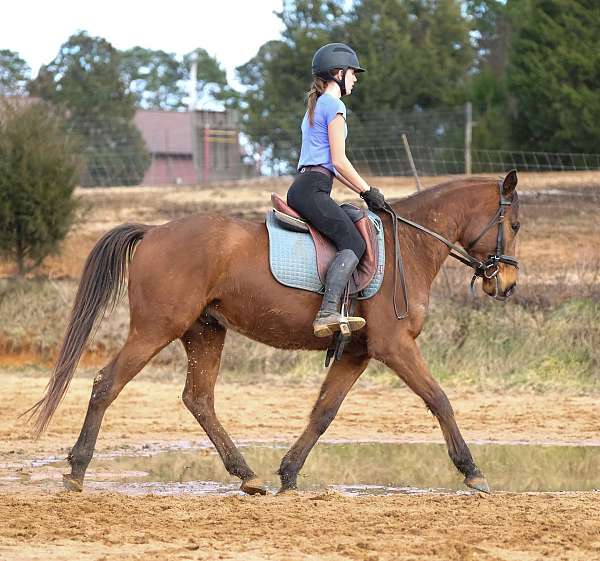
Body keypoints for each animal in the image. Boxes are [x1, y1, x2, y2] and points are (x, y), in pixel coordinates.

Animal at [25, 171, 516, 494]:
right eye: (512, 225)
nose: (507, 284)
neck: (407, 244)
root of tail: (153, 232)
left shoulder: (356, 351)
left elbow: (323, 412)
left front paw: (289, 472)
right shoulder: (394, 345)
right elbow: (439, 398)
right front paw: (472, 470)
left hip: (205, 332)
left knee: (198, 399)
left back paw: (247, 475)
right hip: (155, 329)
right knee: (106, 383)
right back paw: (76, 470)